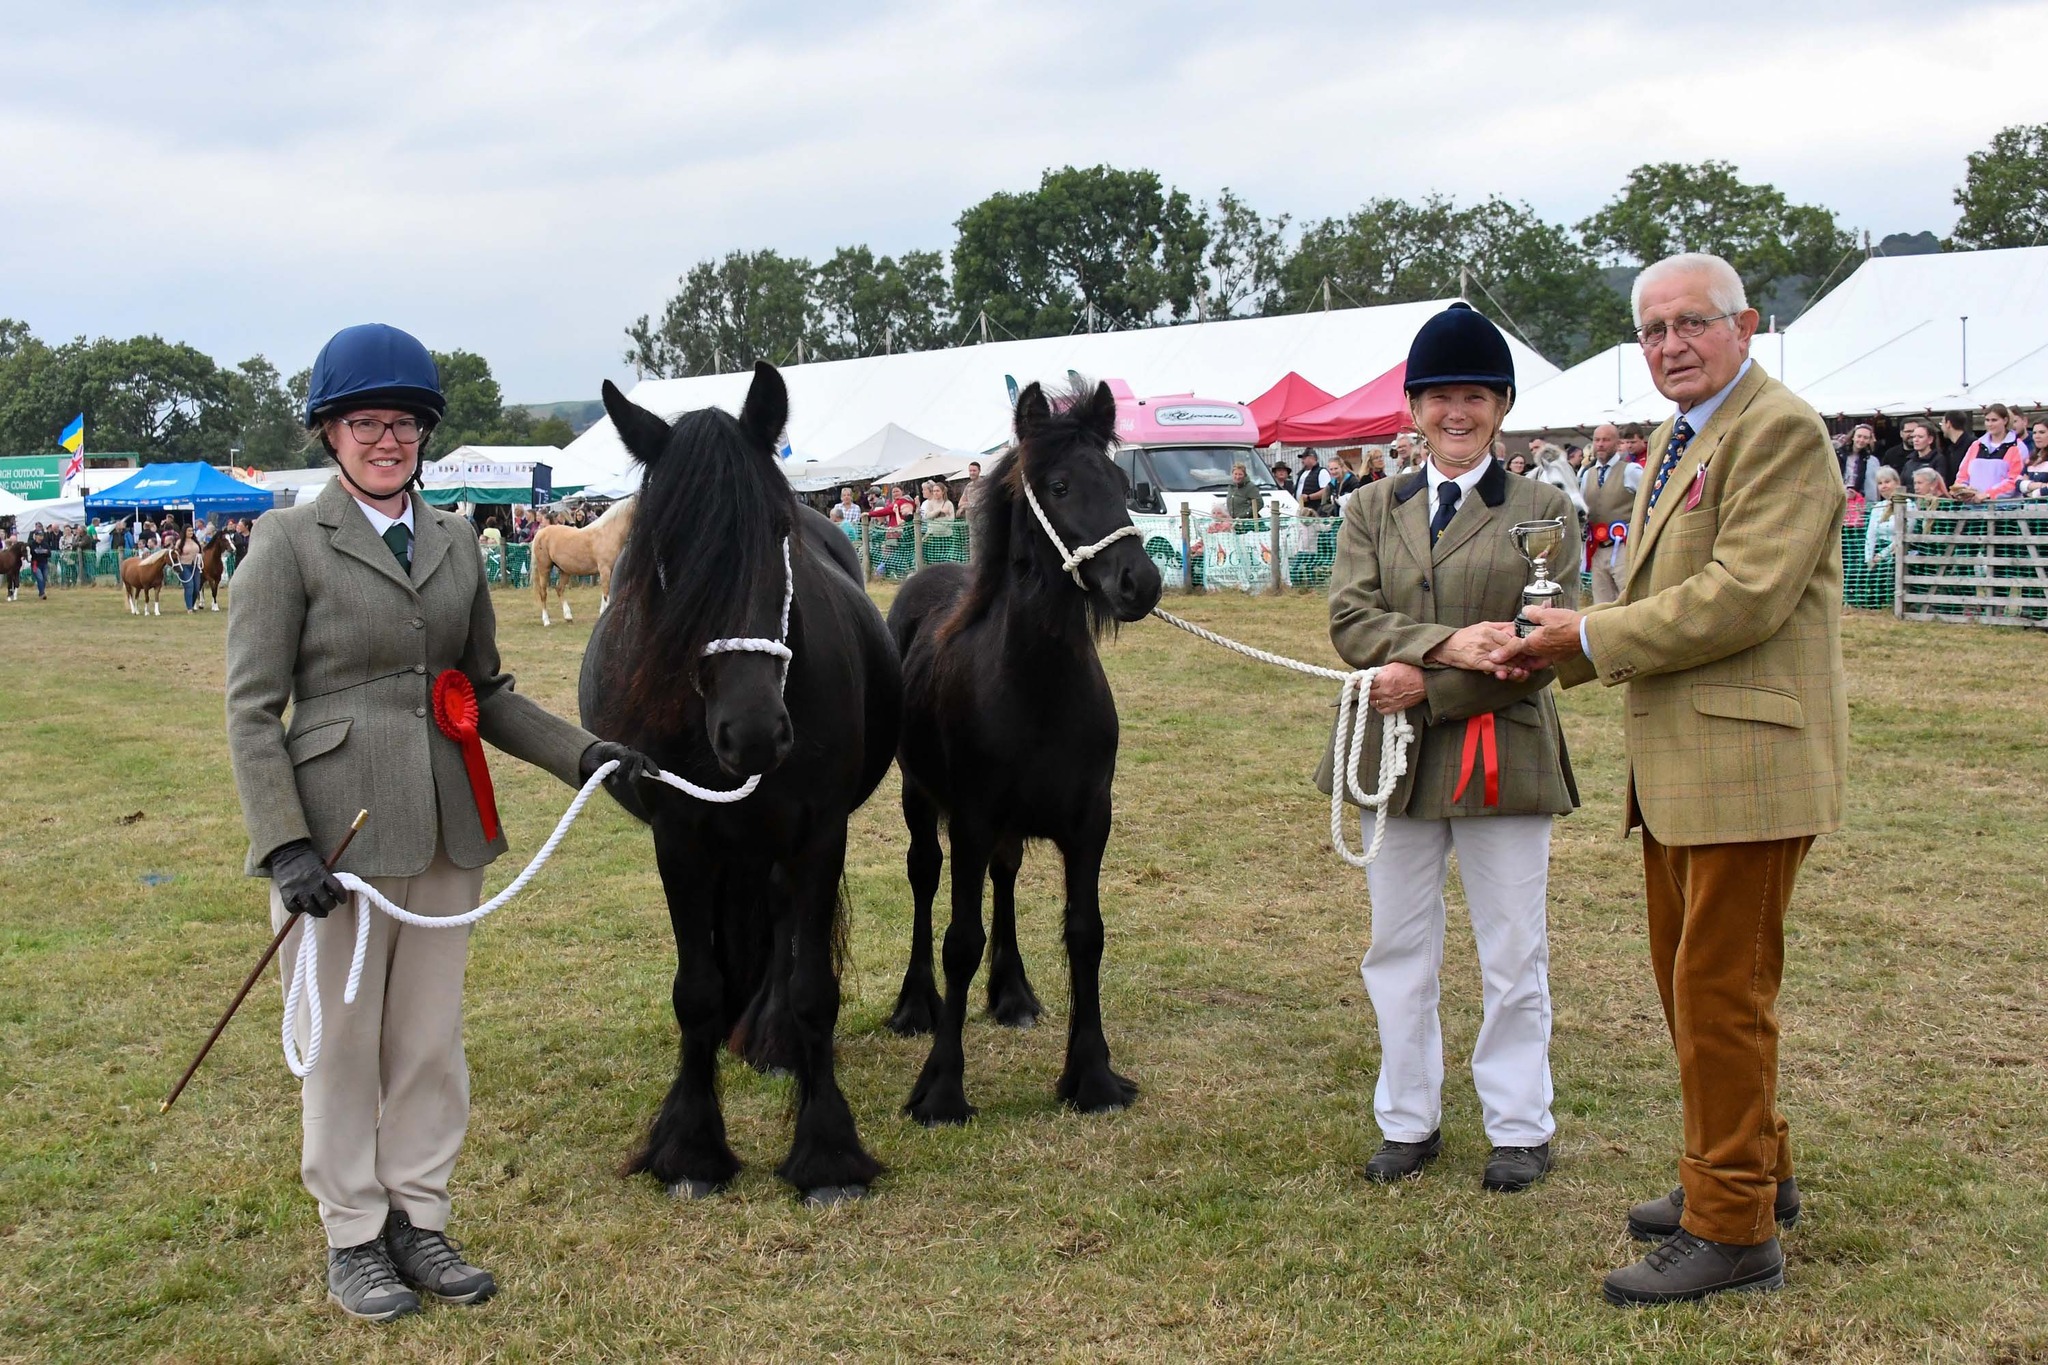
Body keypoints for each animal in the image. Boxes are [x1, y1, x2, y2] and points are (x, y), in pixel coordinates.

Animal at [528, 493, 630, 626]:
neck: (609, 533)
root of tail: (540, 533)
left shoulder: (611, 571)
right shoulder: (605, 570)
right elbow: (606, 593)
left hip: (564, 570)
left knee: (559, 589)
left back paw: (568, 617)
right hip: (544, 569)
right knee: (543, 593)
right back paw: (546, 621)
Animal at [577, 366, 897, 1203]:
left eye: (777, 532)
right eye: (664, 553)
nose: (752, 731)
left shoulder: (819, 832)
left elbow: (815, 986)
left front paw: (827, 1152)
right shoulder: (680, 836)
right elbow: (695, 988)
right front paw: (690, 1148)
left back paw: (774, 1039)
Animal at [888, 378, 1163, 1129]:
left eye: (1122, 484)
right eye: (1061, 485)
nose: (1139, 583)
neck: (1034, 684)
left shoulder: (1089, 822)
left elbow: (1085, 932)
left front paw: (1091, 1076)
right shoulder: (972, 820)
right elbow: (959, 941)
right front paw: (941, 1090)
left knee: (1006, 877)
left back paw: (1012, 995)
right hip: (919, 800)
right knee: (924, 879)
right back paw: (914, 1006)